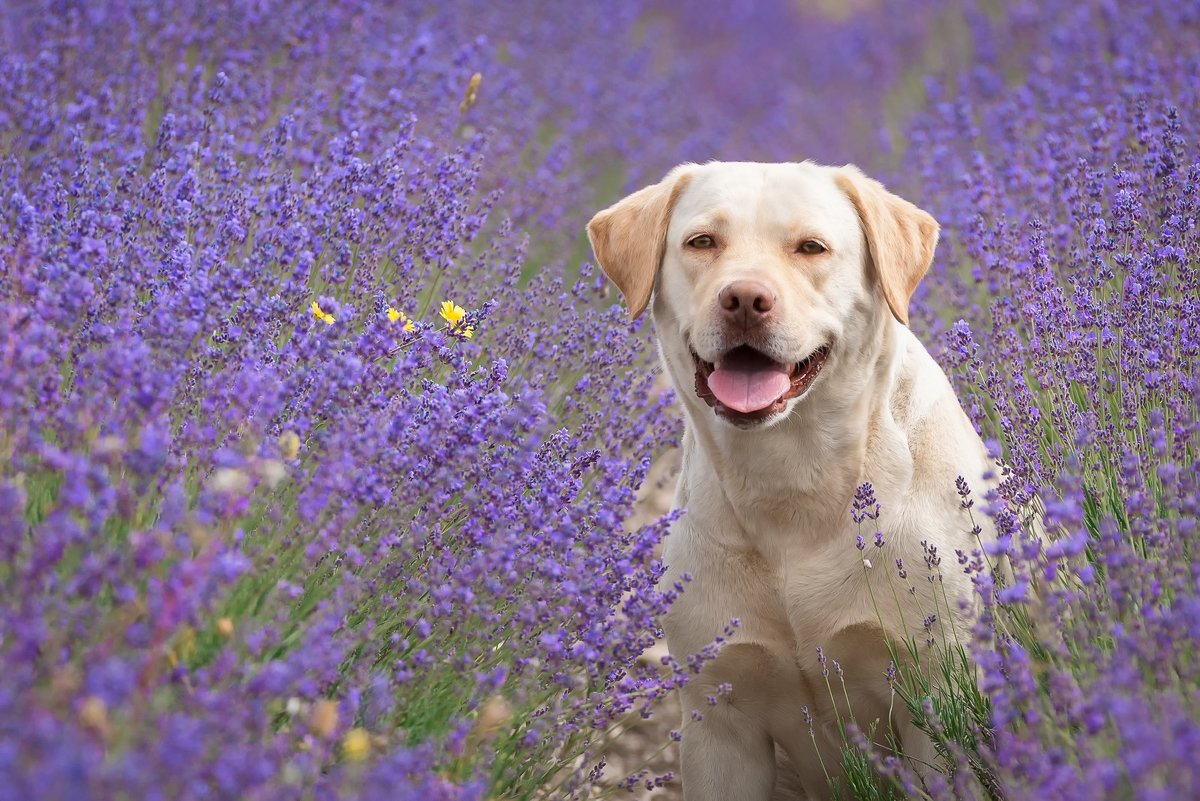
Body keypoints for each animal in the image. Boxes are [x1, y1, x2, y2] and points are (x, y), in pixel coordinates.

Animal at [590, 163, 993, 801]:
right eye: (702, 242)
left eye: (811, 247)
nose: (744, 299)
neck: (791, 481)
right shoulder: (719, 718)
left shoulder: (937, 694)